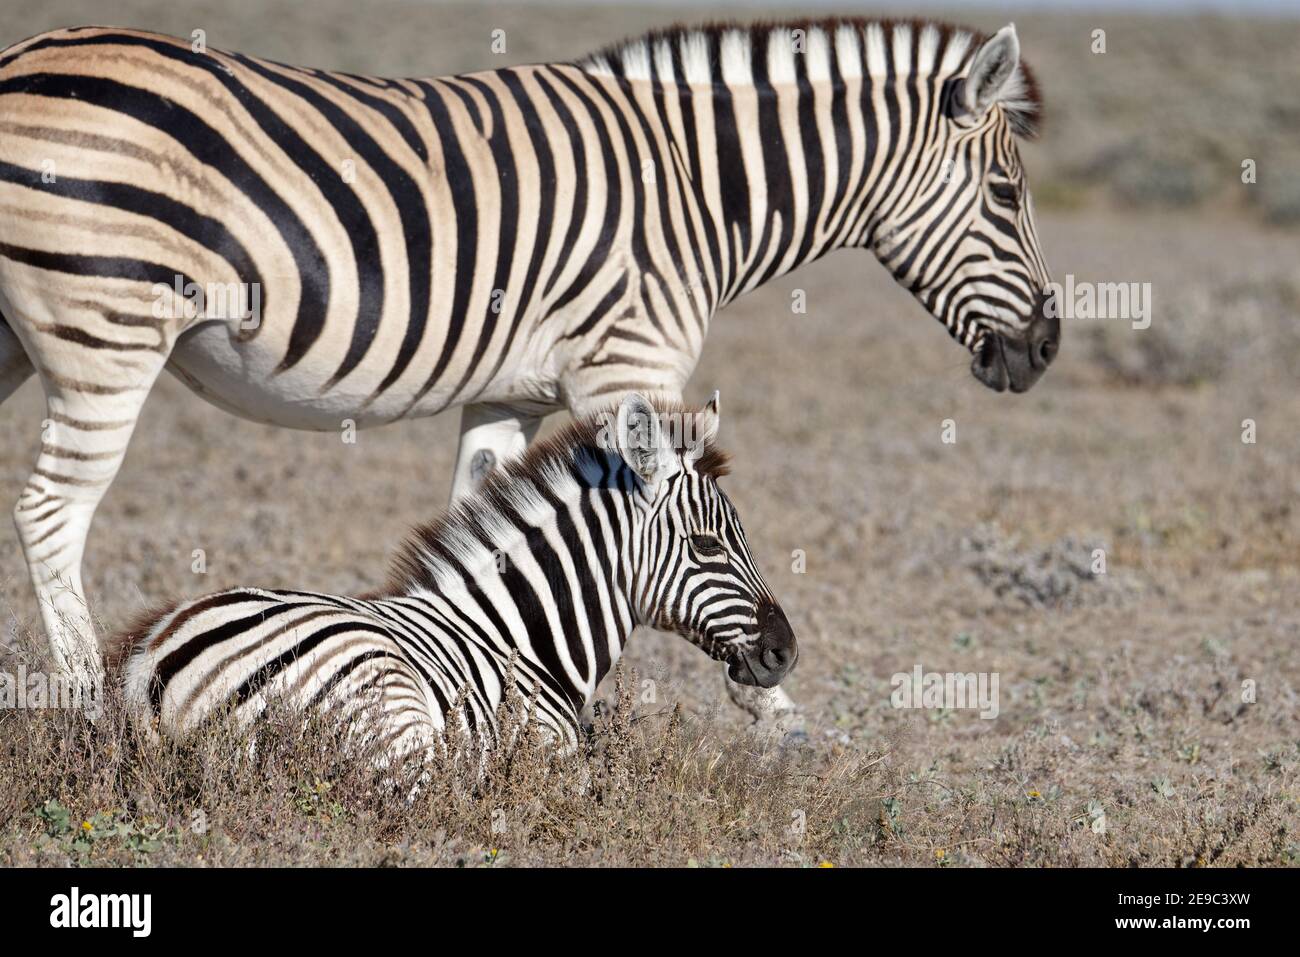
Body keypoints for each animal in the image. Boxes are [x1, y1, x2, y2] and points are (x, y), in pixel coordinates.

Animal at [0, 16, 1055, 712]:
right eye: (1007, 194)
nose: (1044, 350)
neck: (695, 188)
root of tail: (26, 54)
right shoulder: (628, 366)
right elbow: (653, 513)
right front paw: (762, 723)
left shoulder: (506, 396)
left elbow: (487, 522)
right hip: (108, 326)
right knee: (52, 512)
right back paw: (88, 711)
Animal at [114, 395, 800, 754]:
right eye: (708, 545)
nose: (785, 652)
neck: (524, 639)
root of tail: (155, 665)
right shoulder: (550, 751)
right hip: (391, 710)